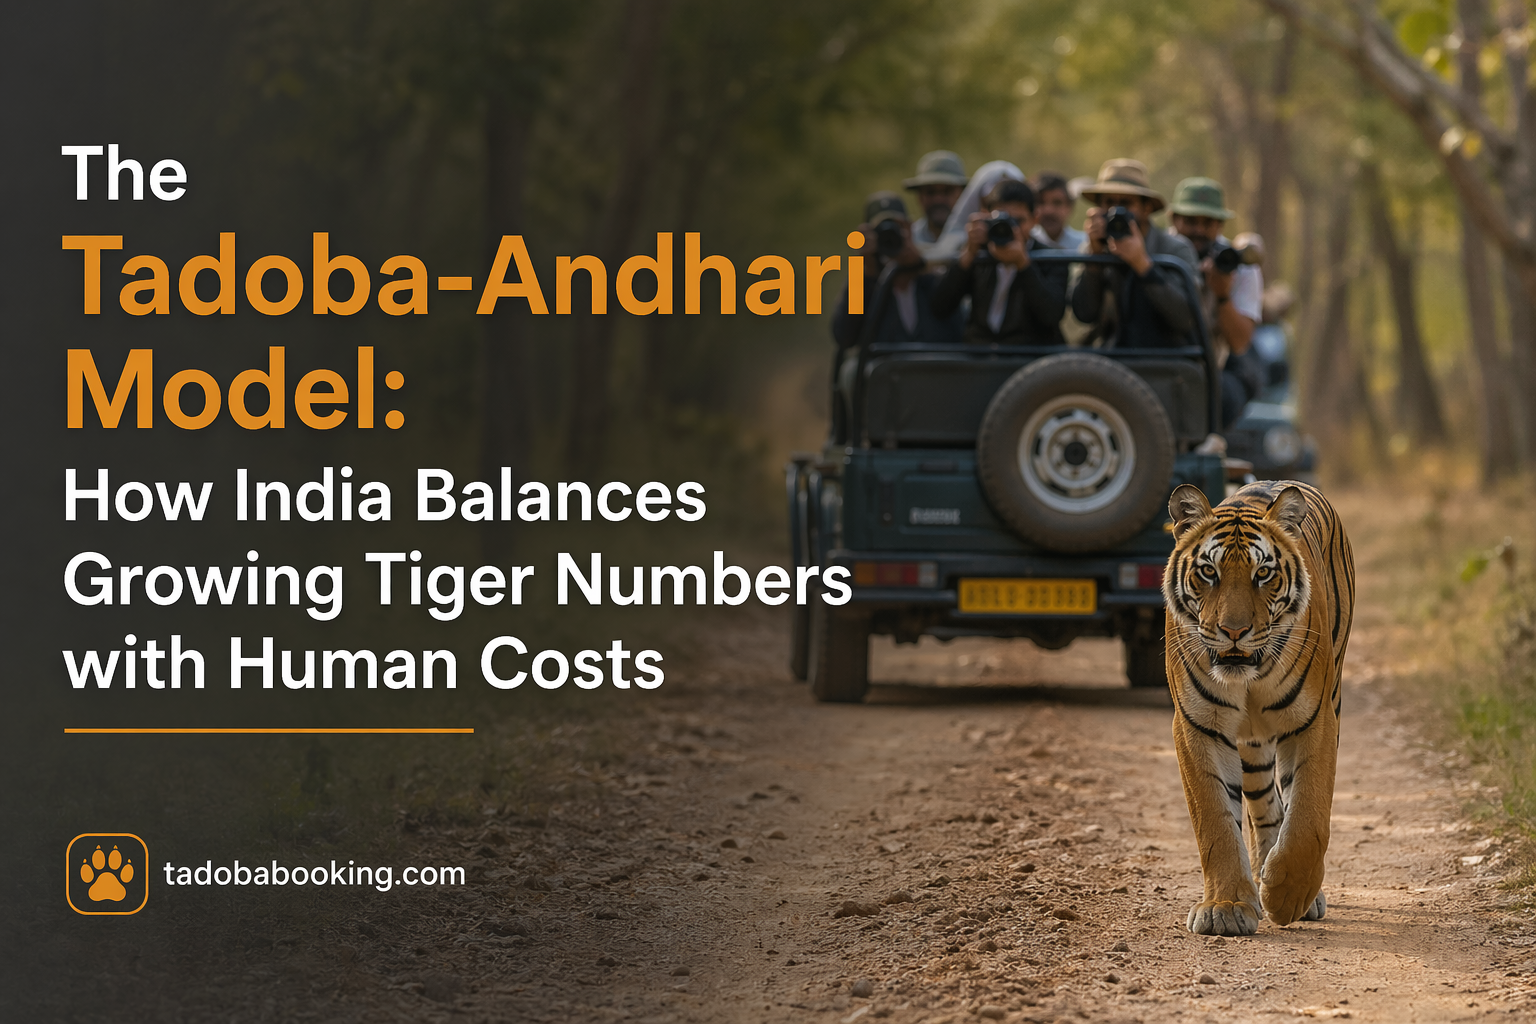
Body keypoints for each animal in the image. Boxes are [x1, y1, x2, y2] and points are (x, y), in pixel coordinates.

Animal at [1161, 479, 1354, 936]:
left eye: (1262, 573)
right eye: (1208, 572)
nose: (1234, 631)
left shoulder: (1315, 721)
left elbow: (1308, 817)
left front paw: (1287, 897)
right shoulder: (1197, 727)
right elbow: (1214, 821)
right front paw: (1226, 907)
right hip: (1251, 745)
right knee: (1265, 808)